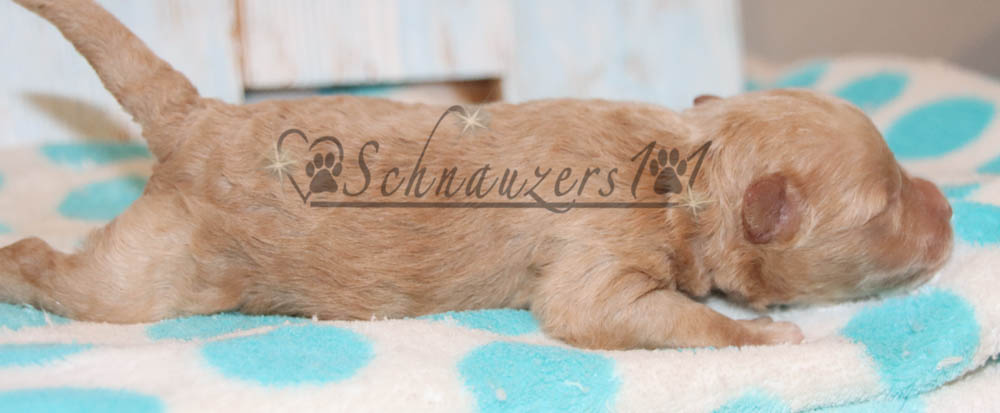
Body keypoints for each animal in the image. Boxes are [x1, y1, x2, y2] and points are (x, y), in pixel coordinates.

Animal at [2, 0, 952, 350]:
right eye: (886, 205)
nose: (947, 206)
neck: (686, 168)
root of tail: (198, 116)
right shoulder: (597, 268)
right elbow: (661, 316)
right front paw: (761, 336)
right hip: (150, 275)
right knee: (54, 266)